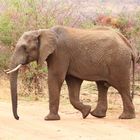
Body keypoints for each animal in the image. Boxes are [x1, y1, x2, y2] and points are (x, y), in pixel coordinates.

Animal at [7, 25, 137, 120]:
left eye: (24, 48)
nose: (18, 118)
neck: (43, 31)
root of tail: (128, 45)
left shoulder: (60, 53)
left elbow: (55, 78)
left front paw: (49, 119)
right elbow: (73, 82)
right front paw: (86, 112)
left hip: (118, 62)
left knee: (121, 86)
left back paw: (126, 117)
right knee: (102, 85)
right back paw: (97, 115)